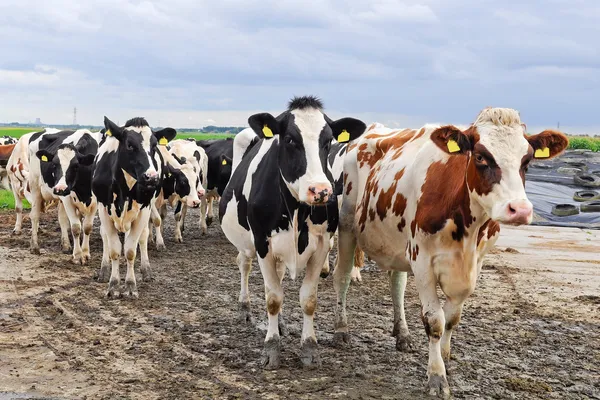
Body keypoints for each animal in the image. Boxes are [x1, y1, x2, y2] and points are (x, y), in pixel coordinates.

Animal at [28, 128, 100, 262]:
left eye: (76, 166)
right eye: (54, 164)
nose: (60, 189)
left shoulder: (95, 202)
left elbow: (87, 227)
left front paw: (85, 253)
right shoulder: (67, 199)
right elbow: (76, 227)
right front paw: (78, 255)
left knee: (62, 219)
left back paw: (66, 245)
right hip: (35, 186)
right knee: (34, 216)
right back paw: (34, 246)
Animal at [92, 115, 176, 296]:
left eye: (154, 145)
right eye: (130, 145)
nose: (151, 177)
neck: (124, 189)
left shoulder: (143, 210)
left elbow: (130, 250)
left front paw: (130, 285)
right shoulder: (103, 209)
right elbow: (114, 249)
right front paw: (113, 284)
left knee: (143, 237)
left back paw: (146, 270)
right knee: (105, 237)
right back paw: (104, 270)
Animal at [218, 96, 364, 368]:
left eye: (328, 141)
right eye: (289, 139)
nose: (321, 190)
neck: (297, 209)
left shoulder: (321, 244)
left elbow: (308, 300)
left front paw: (309, 347)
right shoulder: (263, 243)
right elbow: (273, 298)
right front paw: (271, 348)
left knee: (278, 275)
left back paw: (282, 324)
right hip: (246, 244)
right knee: (244, 265)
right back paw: (245, 309)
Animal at [336, 108, 568, 398]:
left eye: (527, 160)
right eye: (480, 156)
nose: (520, 210)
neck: (468, 228)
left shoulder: (476, 263)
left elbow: (452, 318)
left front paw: (445, 359)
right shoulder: (422, 260)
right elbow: (435, 320)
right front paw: (436, 376)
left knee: (396, 284)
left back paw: (402, 334)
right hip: (347, 225)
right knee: (343, 277)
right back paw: (341, 330)